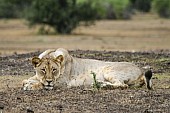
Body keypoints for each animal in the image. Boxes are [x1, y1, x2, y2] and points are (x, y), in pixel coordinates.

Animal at [22, 48, 153, 90]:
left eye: (54, 70)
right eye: (43, 70)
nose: (49, 81)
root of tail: (141, 70)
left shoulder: (63, 82)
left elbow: (41, 83)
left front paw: (30, 86)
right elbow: (30, 79)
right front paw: (27, 82)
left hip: (108, 70)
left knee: (122, 85)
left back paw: (101, 85)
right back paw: (98, 84)